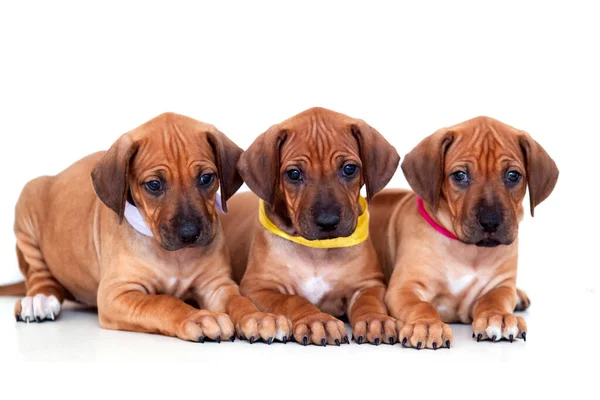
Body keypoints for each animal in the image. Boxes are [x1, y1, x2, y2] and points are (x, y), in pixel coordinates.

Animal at [7, 113, 290, 344]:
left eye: (206, 178)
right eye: (154, 185)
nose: (189, 234)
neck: (174, 257)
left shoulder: (217, 284)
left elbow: (239, 300)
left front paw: (260, 317)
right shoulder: (117, 294)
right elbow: (164, 302)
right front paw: (197, 317)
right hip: (27, 204)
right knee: (38, 273)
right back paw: (40, 299)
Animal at [223, 108, 400, 346]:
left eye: (349, 169)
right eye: (294, 174)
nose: (328, 221)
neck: (317, 251)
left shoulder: (369, 284)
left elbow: (369, 301)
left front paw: (375, 319)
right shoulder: (257, 287)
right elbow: (292, 300)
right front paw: (317, 320)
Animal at [370, 114, 556, 348]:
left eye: (513, 175)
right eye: (459, 175)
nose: (490, 222)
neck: (468, 251)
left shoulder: (500, 286)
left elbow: (494, 299)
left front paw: (498, 316)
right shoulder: (404, 287)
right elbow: (421, 305)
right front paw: (427, 324)